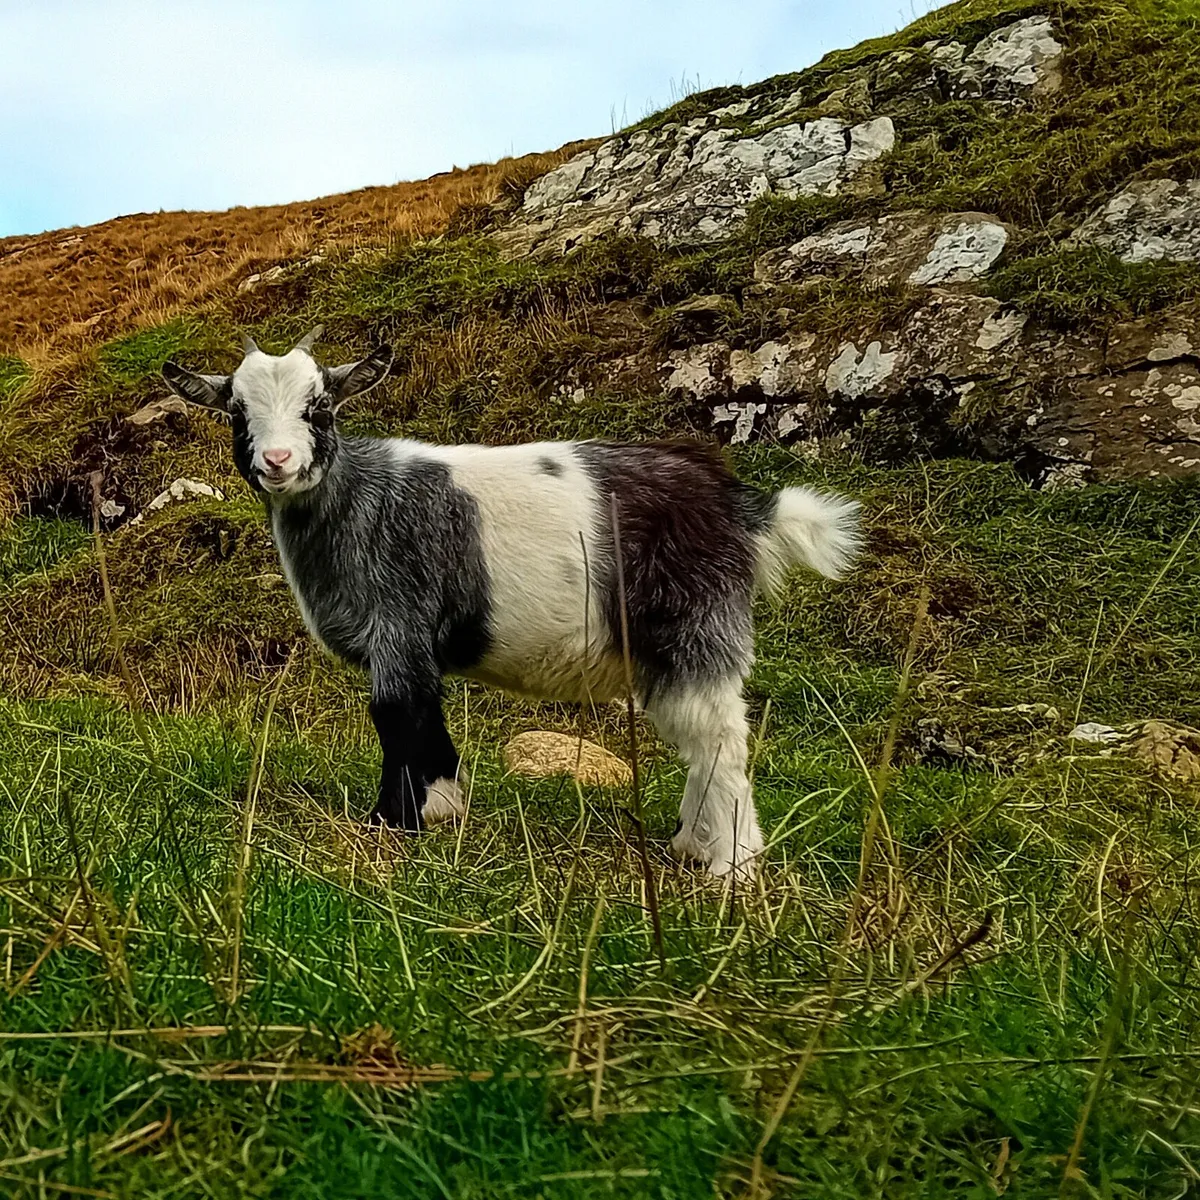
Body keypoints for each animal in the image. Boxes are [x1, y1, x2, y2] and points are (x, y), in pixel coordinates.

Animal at [162, 328, 861, 878]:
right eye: (236, 412)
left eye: (321, 408)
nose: (278, 460)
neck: (358, 501)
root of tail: (738, 505)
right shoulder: (412, 645)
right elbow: (429, 723)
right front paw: (444, 809)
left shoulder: (398, 624)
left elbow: (397, 716)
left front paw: (390, 824)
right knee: (697, 738)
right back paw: (691, 844)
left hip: (696, 625)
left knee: (719, 738)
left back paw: (730, 866)